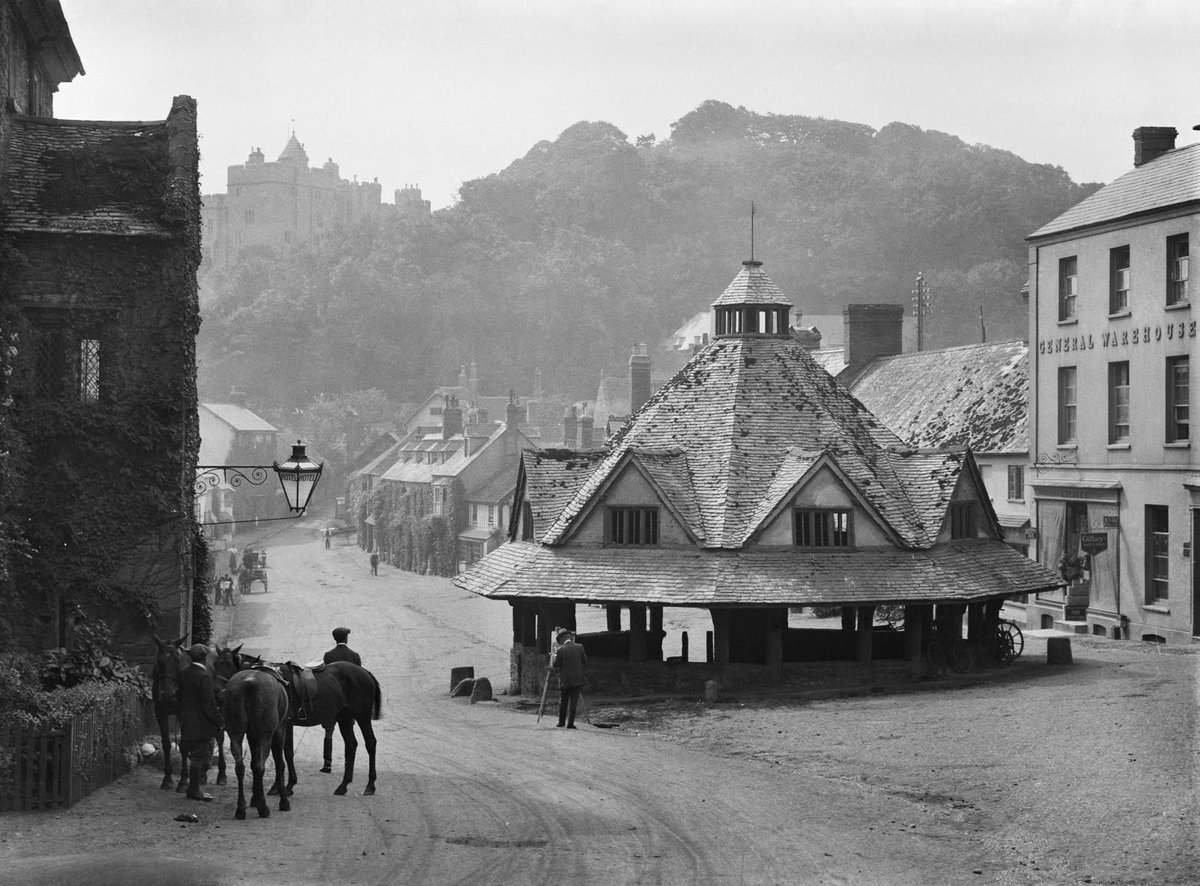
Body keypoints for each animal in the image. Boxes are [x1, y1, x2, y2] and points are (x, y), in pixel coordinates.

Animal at [218, 667, 290, 816]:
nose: (217, 693)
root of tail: (248, 684)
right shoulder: (279, 730)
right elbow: (279, 763)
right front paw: (283, 802)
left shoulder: (251, 735)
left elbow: (252, 763)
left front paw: (254, 799)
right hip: (265, 735)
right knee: (260, 766)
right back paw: (263, 808)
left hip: (235, 732)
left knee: (240, 766)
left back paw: (241, 808)